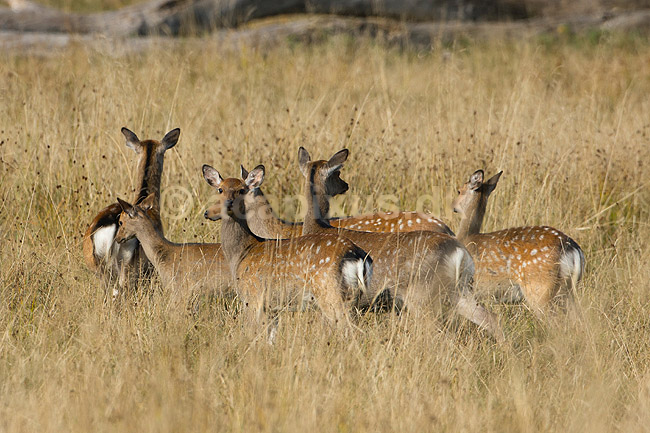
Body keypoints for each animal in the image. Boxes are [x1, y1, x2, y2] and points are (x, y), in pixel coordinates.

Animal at [202, 164, 373, 330]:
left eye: (242, 190)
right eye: (220, 189)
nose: (228, 203)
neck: (241, 253)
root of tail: (357, 255)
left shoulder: (252, 296)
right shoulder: (270, 307)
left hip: (330, 291)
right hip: (352, 295)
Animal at [452, 169, 585, 315]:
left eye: (459, 191)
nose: (453, 206)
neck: (467, 236)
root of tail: (573, 250)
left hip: (541, 289)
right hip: (568, 290)